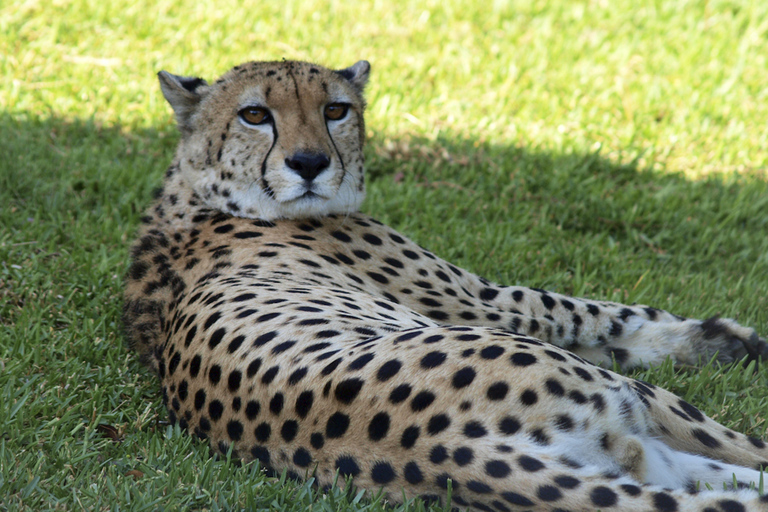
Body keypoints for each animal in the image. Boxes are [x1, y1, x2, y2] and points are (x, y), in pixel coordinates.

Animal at [123, 61, 768, 512]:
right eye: (255, 115)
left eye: (336, 109)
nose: (309, 163)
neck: (196, 191)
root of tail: (443, 453)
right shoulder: (482, 302)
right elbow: (595, 312)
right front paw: (723, 338)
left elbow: (608, 325)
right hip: (626, 396)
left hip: (640, 454)